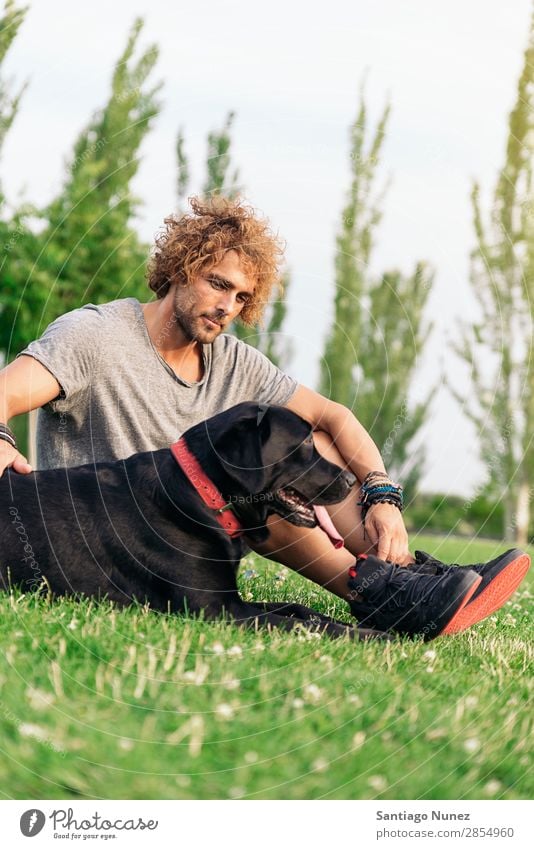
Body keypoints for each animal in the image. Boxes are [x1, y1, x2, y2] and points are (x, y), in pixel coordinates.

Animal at [0, 402, 386, 636]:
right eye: (306, 444)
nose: (350, 481)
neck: (203, 493)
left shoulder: (232, 599)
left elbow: (299, 609)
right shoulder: (215, 609)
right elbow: (303, 625)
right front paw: (374, 636)